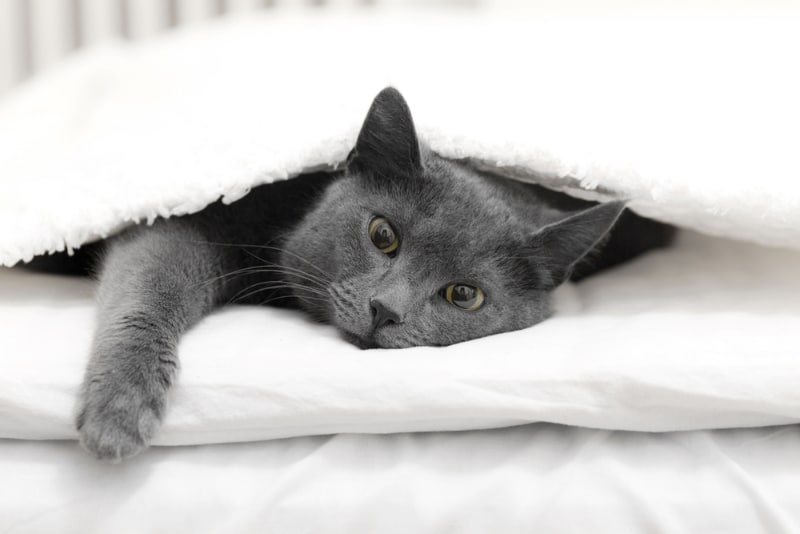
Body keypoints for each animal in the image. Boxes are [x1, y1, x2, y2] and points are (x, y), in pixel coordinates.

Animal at [54, 87, 676, 460]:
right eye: (383, 236)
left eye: (464, 295)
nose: (386, 310)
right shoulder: (198, 216)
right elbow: (153, 278)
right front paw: (120, 410)